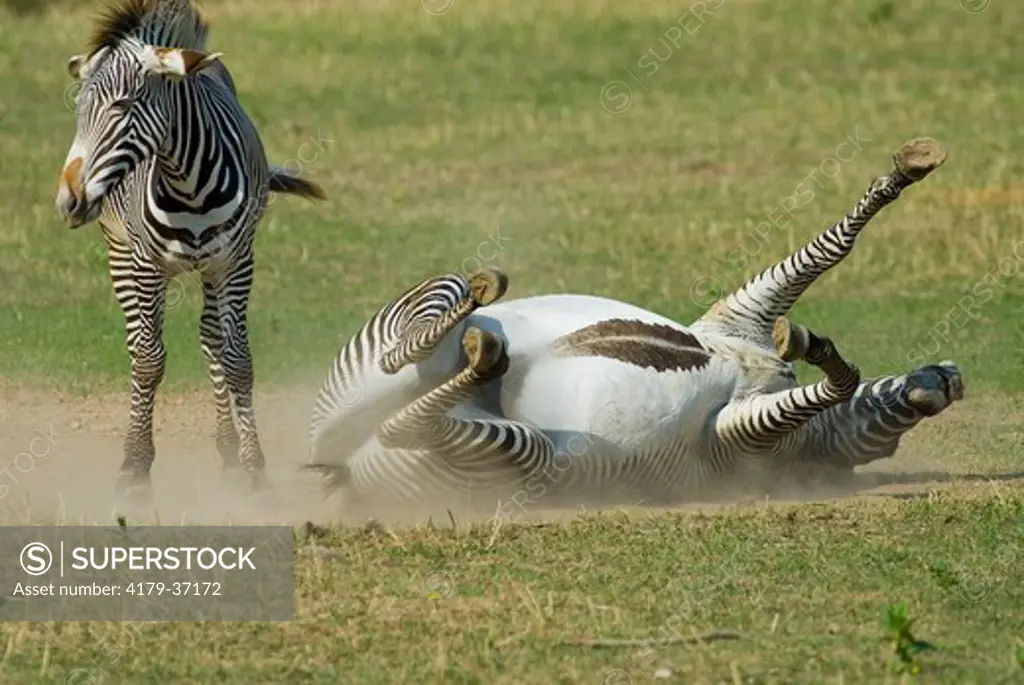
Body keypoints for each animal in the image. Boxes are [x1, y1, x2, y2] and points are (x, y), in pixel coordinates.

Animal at [54, 2, 323, 499]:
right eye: (79, 110)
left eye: (122, 106)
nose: (68, 202)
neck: (188, 184)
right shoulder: (144, 264)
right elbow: (148, 361)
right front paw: (135, 468)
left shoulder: (237, 262)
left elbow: (237, 360)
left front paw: (254, 468)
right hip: (120, 255)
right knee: (138, 344)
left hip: (213, 271)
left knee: (211, 338)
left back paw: (229, 452)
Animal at [303, 140, 958, 524]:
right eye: (897, 411)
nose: (950, 377)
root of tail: (337, 468)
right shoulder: (741, 312)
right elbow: (827, 249)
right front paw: (904, 172)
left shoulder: (738, 439)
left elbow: (833, 374)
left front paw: (813, 346)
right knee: (416, 346)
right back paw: (477, 308)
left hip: (520, 455)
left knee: (402, 414)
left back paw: (481, 349)